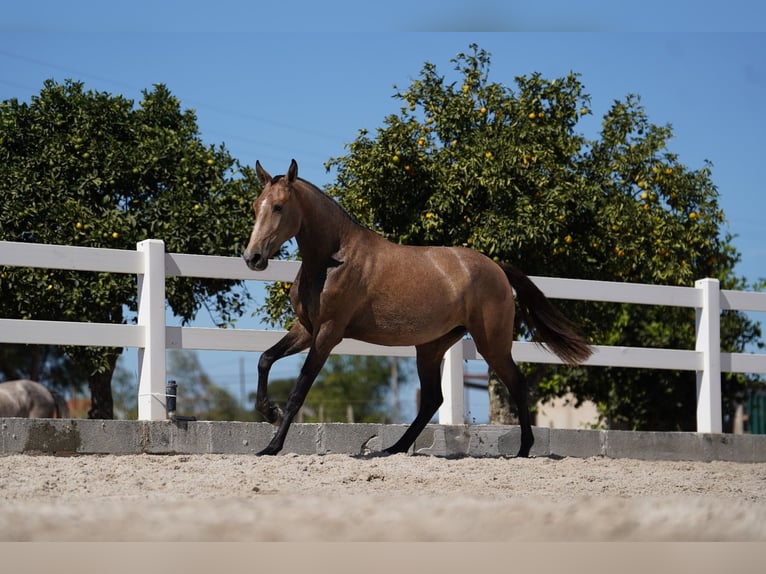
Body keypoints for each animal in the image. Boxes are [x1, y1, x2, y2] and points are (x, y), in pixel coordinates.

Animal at [243, 161, 592, 460]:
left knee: (516, 384)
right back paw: (394, 448)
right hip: (431, 347)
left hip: (491, 343)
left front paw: (272, 446)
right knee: (432, 399)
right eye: (255, 206)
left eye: (278, 207)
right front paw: (269, 412)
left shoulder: (328, 333)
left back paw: (523, 449)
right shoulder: (306, 328)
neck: (333, 259)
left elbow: (299, 389)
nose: (252, 257)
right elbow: (265, 359)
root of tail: (497, 268)